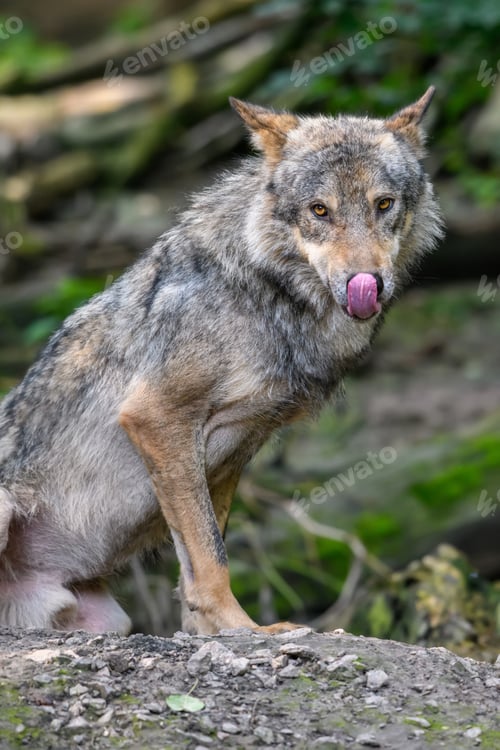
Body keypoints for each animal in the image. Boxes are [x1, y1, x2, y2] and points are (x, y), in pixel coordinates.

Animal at [0, 88, 443, 635]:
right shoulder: (158, 418)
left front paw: (207, 633)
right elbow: (211, 555)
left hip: (108, 619)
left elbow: (200, 556)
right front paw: (245, 630)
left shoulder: (233, 449)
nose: (367, 284)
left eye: (384, 204)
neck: (267, 294)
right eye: (320, 211)